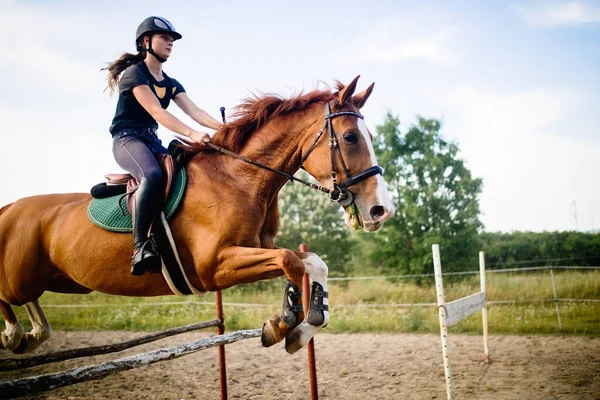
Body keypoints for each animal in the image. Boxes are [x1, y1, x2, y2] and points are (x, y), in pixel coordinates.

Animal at [0, 76, 396, 354]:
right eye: (350, 137)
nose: (381, 210)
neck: (240, 176)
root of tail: (10, 207)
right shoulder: (214, 267)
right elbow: (290, 261)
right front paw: (285, 321)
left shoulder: (256, 247)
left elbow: (311, 262)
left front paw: (301, 327)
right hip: (21, 279)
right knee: (8, 295)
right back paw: (15, 335)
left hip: (58, 281)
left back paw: (32, 335)